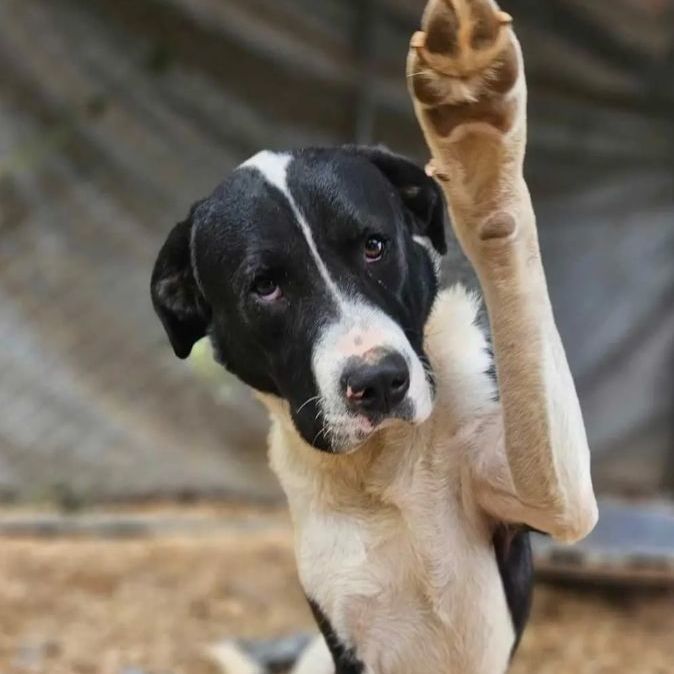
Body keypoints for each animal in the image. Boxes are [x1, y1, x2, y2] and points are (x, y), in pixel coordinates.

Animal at [151, 2, 592, 668]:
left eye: (375, 246)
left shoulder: (550, 499)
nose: (379, 383)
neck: (380, 469)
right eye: (264, 287)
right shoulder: (349, 635)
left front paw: (476, 127)